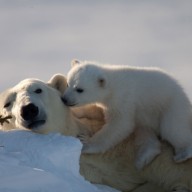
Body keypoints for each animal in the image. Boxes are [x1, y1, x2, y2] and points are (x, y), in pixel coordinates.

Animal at [63, 59, 192, 168]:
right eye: (68, 84)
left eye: (79, 89)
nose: (64, 99)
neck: (112, 86)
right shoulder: (107, 104)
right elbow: (96, 111)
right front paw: (76, 113)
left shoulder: (123, 99)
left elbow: (120, 125)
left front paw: (86, 143)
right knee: (145, 132)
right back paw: (143, 158)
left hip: (171, 106)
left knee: (173, 129)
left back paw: (183, 154)